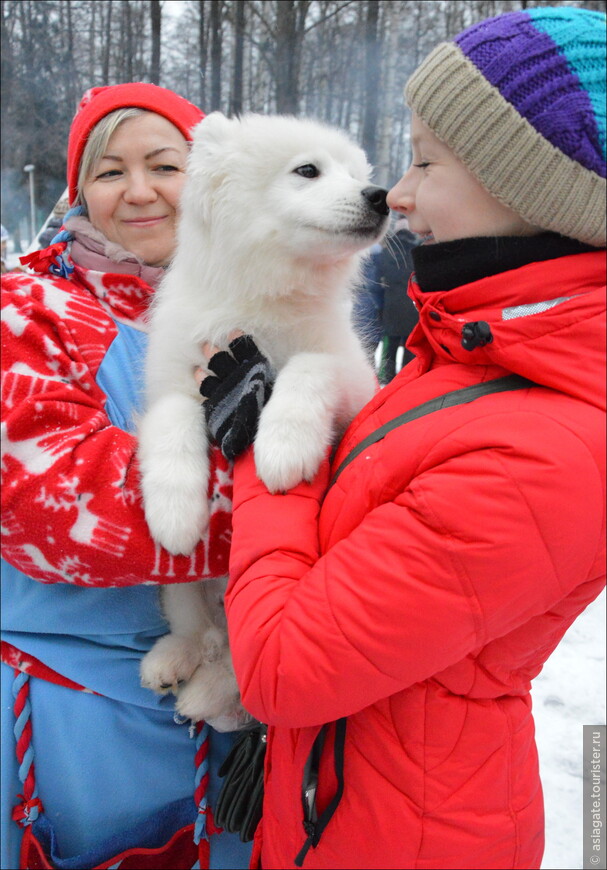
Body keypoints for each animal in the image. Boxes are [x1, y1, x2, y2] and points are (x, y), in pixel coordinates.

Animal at [138, 114, 390, 728]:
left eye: (357, 173)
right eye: (308, 170)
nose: (380, 195)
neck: (264, 305)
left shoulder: (352, 379)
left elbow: (307, 368)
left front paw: (282, 448)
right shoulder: (175, 379)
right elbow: (174, 417)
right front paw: (175, 514)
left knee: (234, 663)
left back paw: (202, 689)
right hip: (183, 594)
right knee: (197, 629)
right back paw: (172, 661)